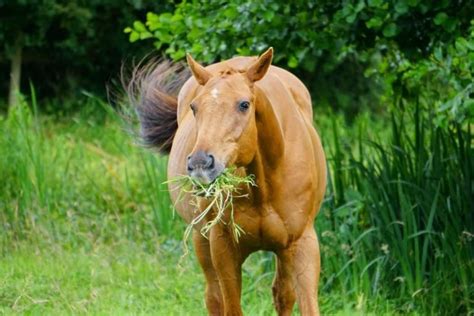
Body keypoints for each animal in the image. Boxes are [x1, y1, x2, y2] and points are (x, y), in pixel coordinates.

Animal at [131, 48, 328, 314]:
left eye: (244, 104)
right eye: (194, 107)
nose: (201, 163)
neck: (265, 187)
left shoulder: (302, 245)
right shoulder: (224, 248)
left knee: (283, 294)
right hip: (201, 239)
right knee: (213, 297)